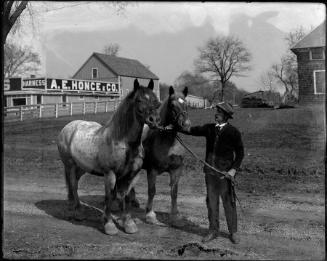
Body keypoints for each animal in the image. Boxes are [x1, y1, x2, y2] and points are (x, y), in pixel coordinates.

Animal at [58, 78, 163, 234]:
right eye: (139, 100)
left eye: (156, 101)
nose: (154, 120)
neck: (123, 142)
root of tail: (68, 127)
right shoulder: (110, 174)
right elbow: (109, 196)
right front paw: (109, 225)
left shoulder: (129, 175)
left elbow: (125, 196)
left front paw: (128, 224)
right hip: (69, 165)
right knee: (73, 185)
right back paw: (78, 212)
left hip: (81, 167)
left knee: (74, 183)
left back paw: (75, 206)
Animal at [128, 86, 191, 224]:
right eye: (172, 105)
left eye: (186, 104)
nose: (186, 125)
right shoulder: (152, 170)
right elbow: (152, 191)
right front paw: (150, 214)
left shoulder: (176, 170)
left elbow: (174, 192)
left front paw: (175, 215)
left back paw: (132, 200)